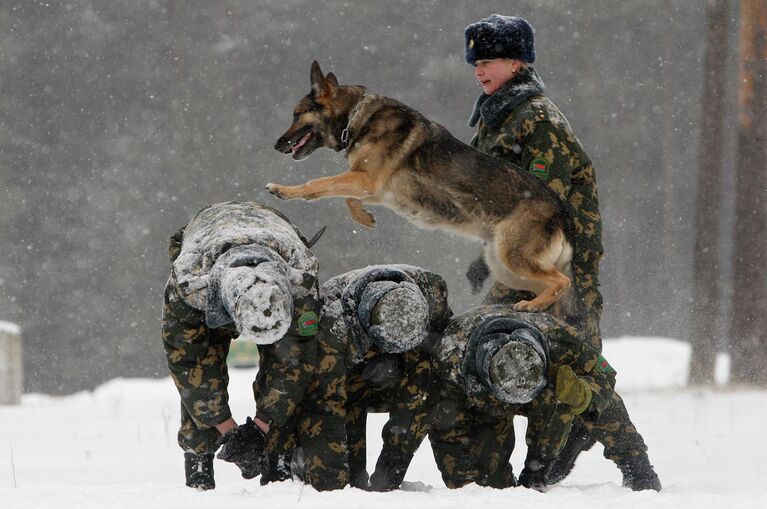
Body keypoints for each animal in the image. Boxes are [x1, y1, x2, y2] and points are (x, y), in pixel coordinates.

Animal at [270, 61, 576, 312]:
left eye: (297, 114)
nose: (277, 145)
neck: (354, 117)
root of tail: (561, 211)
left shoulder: (366, 180)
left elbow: (319, 184)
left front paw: (284, 190)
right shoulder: (375, 188)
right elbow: (345, 196)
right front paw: (363, 217)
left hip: (514, 258)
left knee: (562, 281)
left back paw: (534, 306)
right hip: (506, 268)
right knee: (551, 284)